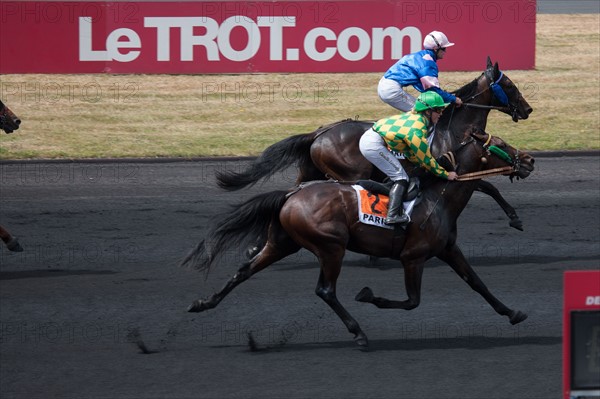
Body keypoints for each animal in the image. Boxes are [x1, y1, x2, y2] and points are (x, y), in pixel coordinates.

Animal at [183, 128, 536, 346]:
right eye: (501, 145)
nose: (530, 160)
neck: (438, 197)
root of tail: (290, 194)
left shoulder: (448, 249)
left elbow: (477, 283)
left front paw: (512, 313)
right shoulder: (413, 257)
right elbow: (412, 301)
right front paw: (369, 296)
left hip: (283, 242)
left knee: (244, 271)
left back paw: (204, 303)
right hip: (330, 246)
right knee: (325, 290)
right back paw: (359, 334)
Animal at [217, 56, 536, 231]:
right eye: (509, 85)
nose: (528, 109)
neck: (454, 128)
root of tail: (318, 134)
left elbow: (487, 186)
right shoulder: (450, 167)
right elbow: (489, 186)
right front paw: (515, 218)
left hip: (311, 170)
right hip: (350, 173)